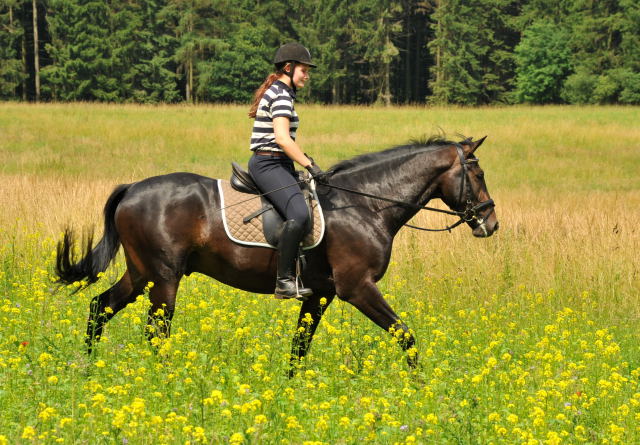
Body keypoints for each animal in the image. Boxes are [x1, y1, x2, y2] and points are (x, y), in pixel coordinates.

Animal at [56, 134, 500, 372]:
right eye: (478, 173)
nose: (490, 223)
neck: (364, 204)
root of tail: (132, 188)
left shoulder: (322, 293)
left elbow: (299, 346)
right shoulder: (357, 287)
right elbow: (405, 335)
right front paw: (420, 385)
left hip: (141, 272)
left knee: (100, 307)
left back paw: (89, 368)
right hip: (164, 277)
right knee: (155, 330)